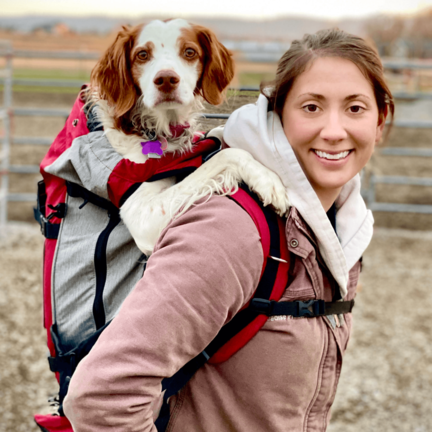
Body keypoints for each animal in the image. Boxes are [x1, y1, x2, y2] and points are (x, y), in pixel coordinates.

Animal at [86, 20, 288, 255]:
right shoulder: (140, 211)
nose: (166, 80)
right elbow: (226, 155)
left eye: (189, 52)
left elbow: (218, 135)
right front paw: (268, 180)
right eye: (142, 54)